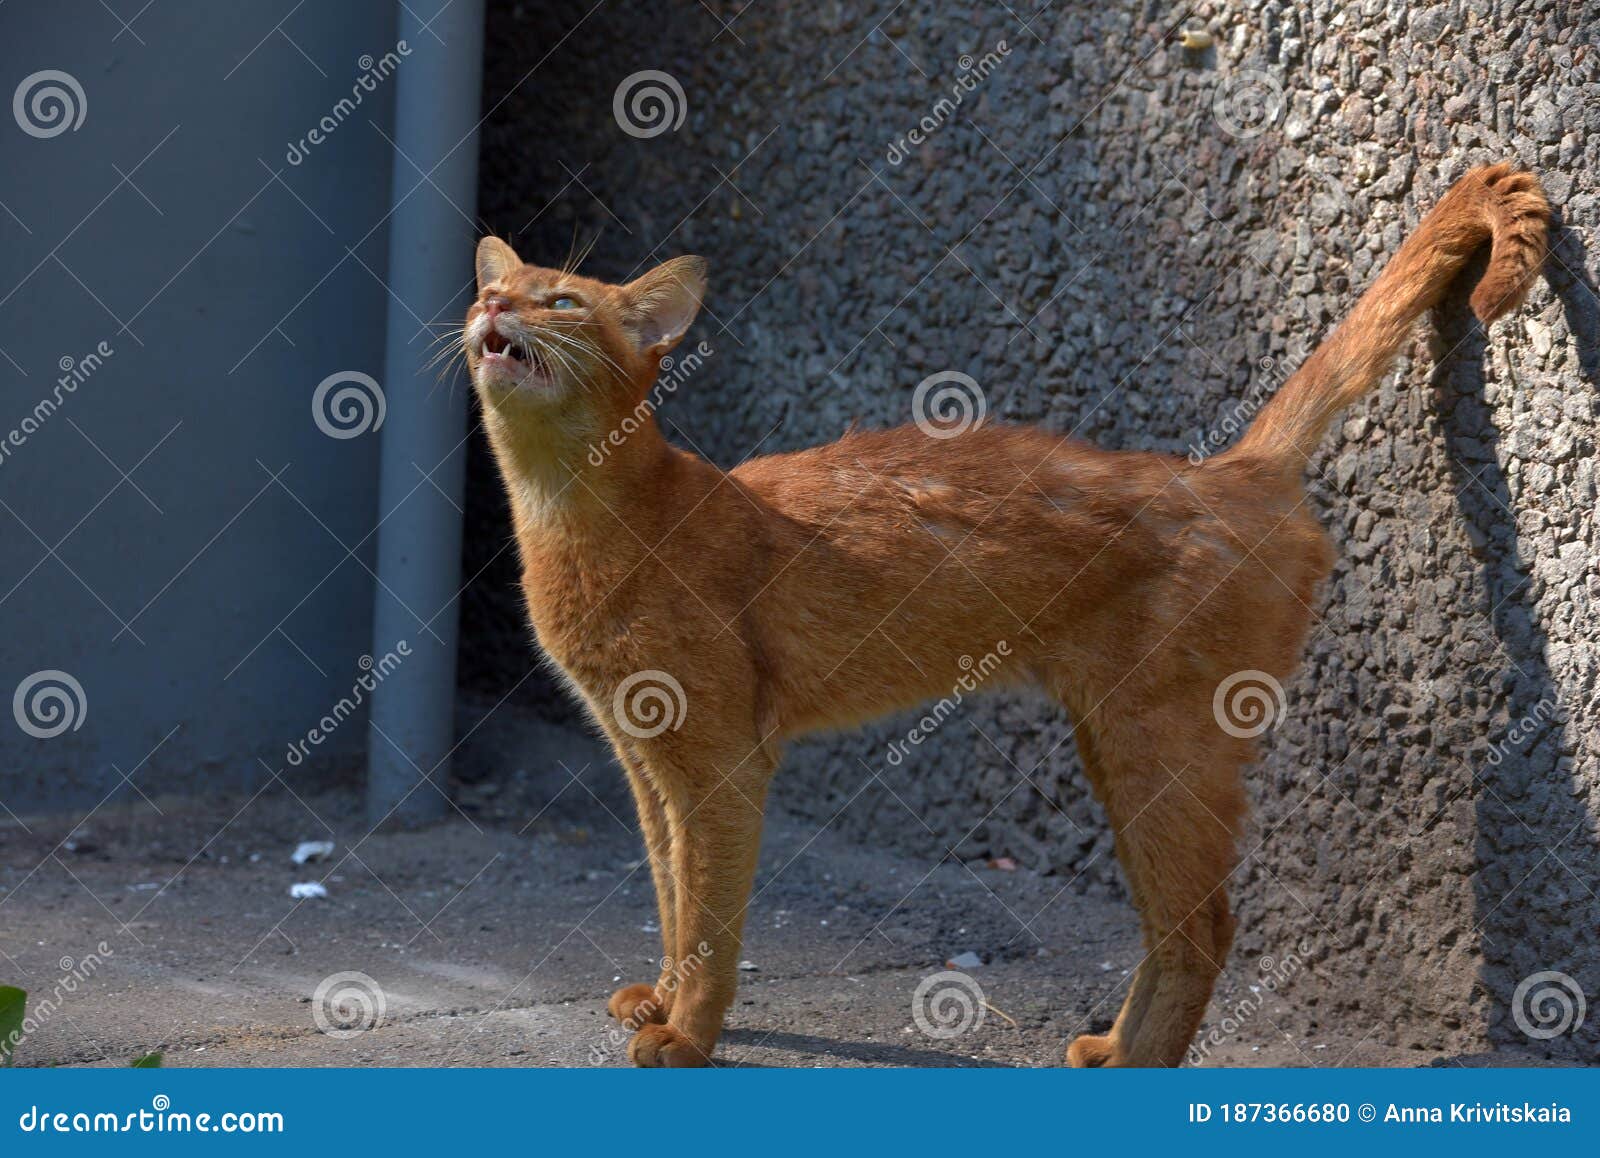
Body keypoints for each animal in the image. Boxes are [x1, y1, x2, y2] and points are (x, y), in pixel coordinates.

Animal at [467, 164, 1548, 1068]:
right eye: (496, 292)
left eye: (561, 300)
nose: (491, 303)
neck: (575, 513)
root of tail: (1229, 472)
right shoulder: (644, 758)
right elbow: (667, 887)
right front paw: (659, 1002)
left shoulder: (720, 762)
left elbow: (707, 912)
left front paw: (687, 1037)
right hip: (1116, 741)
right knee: (1177, 921)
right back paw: (1111, 1047)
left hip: (1160, 737)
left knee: (1206, 926)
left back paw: (1140, 1069)